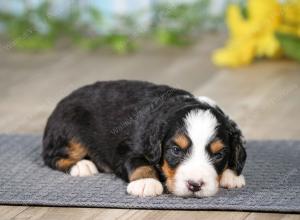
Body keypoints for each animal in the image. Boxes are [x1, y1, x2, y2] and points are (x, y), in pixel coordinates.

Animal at [44, 80, 246, 198]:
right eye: (176, 150)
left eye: (218, 155)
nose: (195, 185)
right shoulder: (127, 149)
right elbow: (139, 164)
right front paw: (146, 183)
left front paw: (231, 175)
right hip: (70, 129)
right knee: (53, 156)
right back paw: (82, 166)